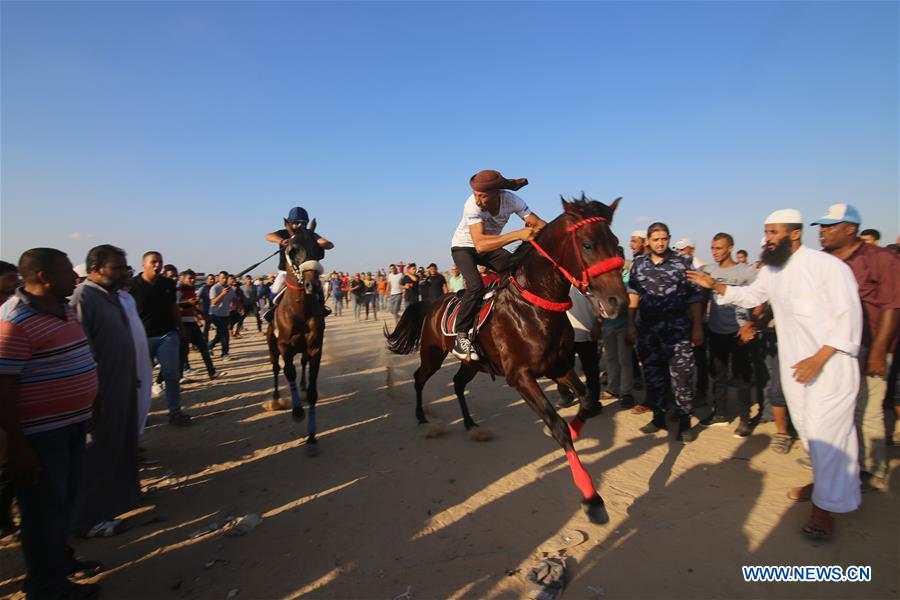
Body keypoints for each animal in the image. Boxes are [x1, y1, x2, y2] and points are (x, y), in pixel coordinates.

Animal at [262, 224, 326, 454]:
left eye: (319, 249)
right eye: (292, 249)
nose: (311, 285)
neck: (298, 310)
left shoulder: (315, 347)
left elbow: (313, 391)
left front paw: (312, 437)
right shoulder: (284, 346)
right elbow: (288, 371)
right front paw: (297, 411)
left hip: (304, 349)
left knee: (303, 364)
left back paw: (303, 386)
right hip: (272, 345)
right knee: (275, 368)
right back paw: (276, 399)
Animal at [384, 196, 624, 520]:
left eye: (616, 243)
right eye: (587, 245)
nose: (617, 300)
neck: (533, 305)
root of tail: (432, 303)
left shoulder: (557, 365)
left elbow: (587, 402)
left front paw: (573, 428)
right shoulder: (520, 376)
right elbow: (558, 427)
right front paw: (592, 498)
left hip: (472, 363)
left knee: (458, 384)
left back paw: (471, 424)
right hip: (433, 354)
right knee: (419, 378)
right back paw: (422, 418)